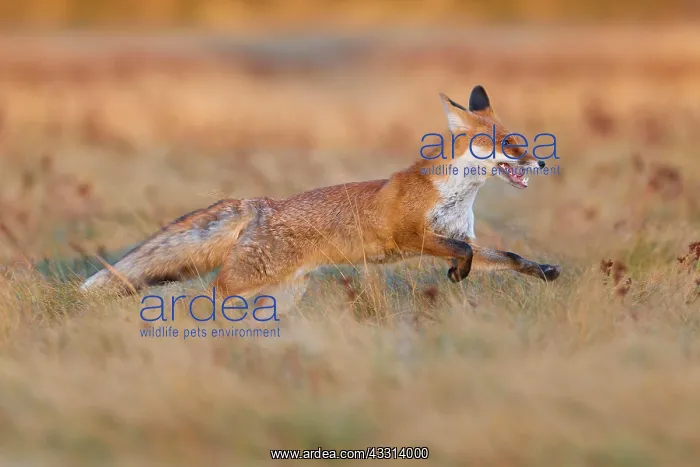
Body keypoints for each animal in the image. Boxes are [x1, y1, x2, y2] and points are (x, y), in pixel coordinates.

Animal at [81, 85, 561, 307]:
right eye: (511, 146)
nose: (540, 163)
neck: (456, 193)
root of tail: (260, 205)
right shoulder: (410, 236)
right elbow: (464, 252)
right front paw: (457, 274)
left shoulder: (459, 237)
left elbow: (507, 256)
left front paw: (544, 270)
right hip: (242, 284)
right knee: (204, 295)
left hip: (281, 293)